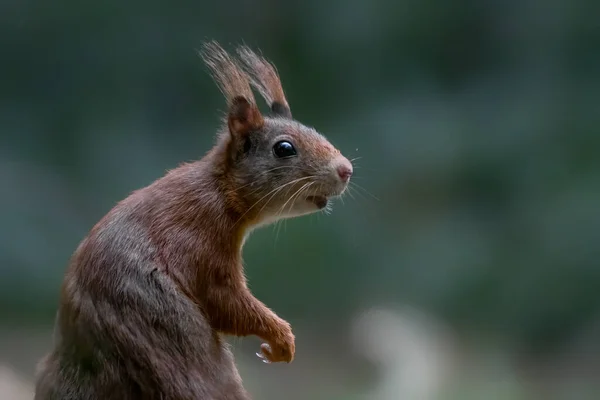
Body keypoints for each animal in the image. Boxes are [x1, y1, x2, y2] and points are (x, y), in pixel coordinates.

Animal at [34, 41, 352, 400]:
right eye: (284, 148)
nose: (346, 170)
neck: (220, 192)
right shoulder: (196, 241)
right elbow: (223, 301)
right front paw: (281, 338)